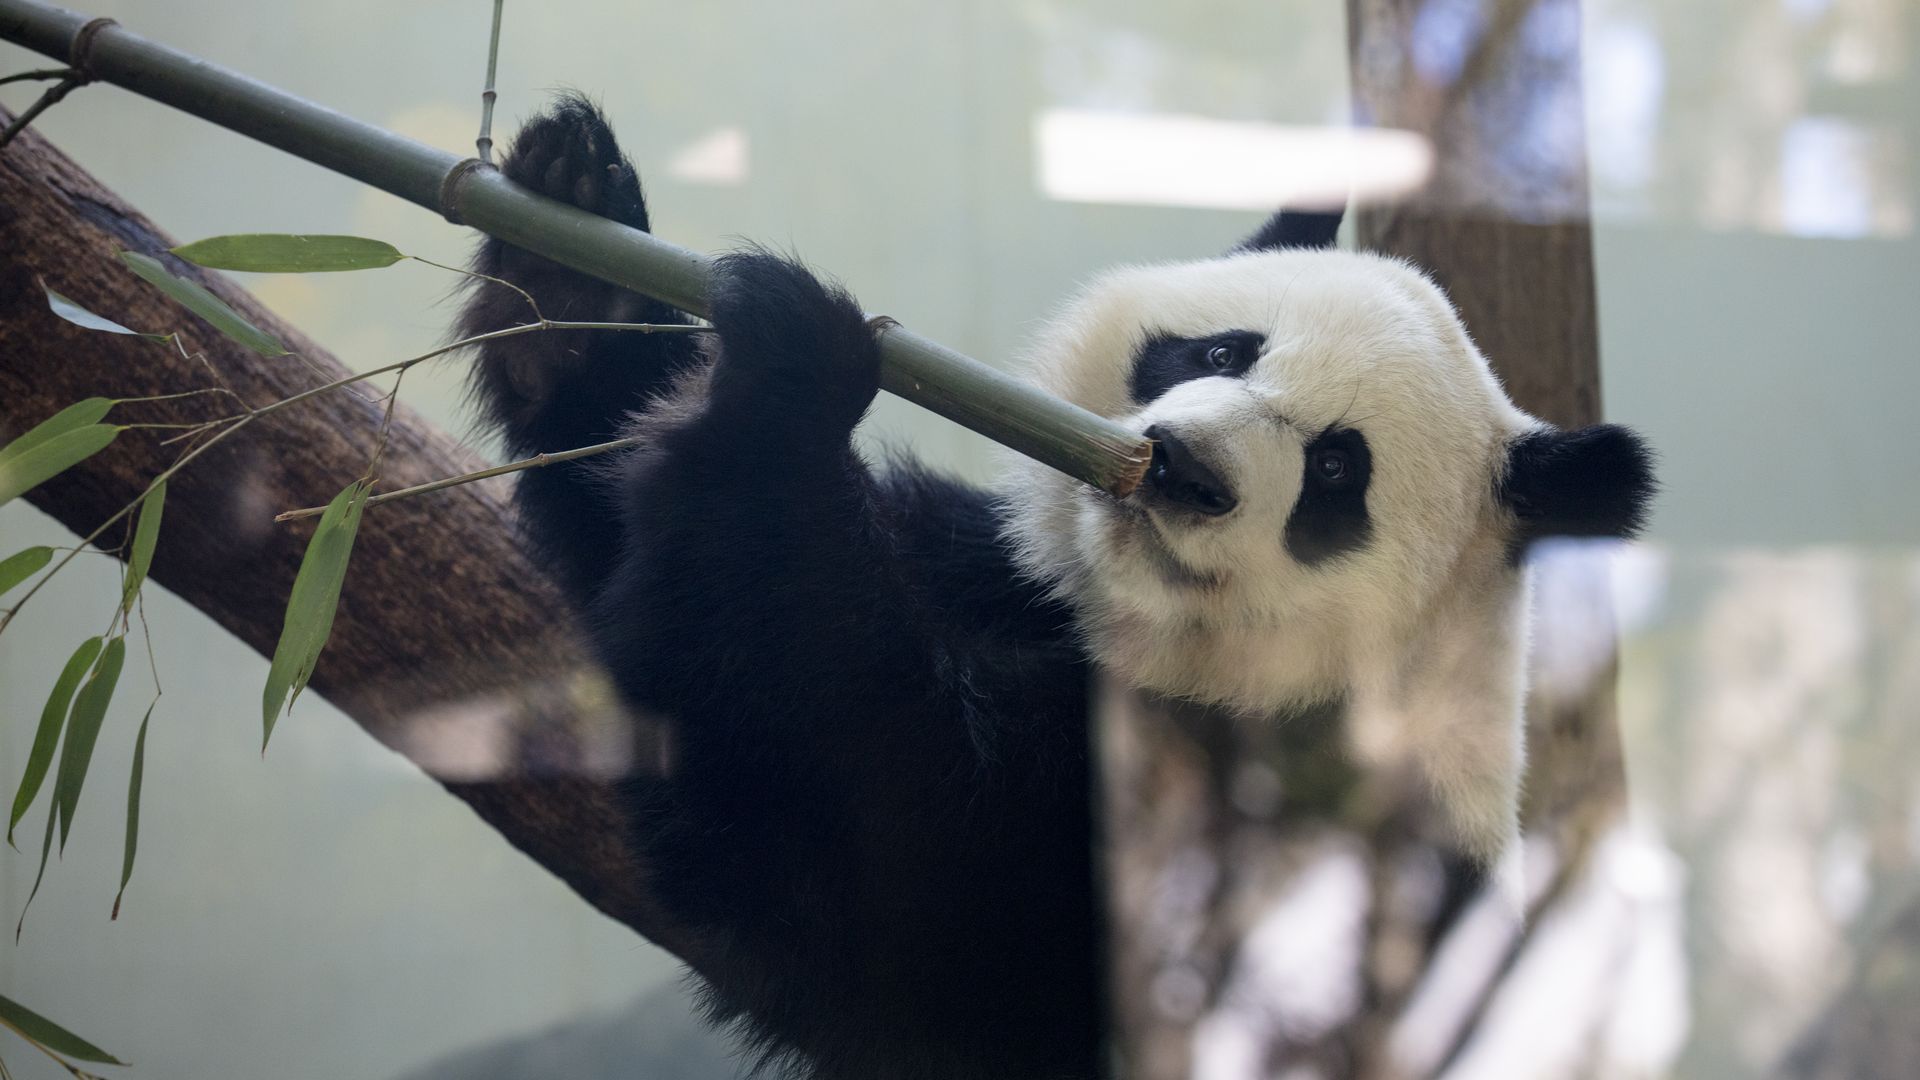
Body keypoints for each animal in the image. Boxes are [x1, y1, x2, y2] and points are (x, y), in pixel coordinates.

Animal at [460, 96, 1651, 1068]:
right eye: (1222, 354)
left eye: (1335, 470)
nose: (1187, 472)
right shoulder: (995, 571)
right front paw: (573, 259)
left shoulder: (1283, 826)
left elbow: (898, 871)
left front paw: (792, 379)